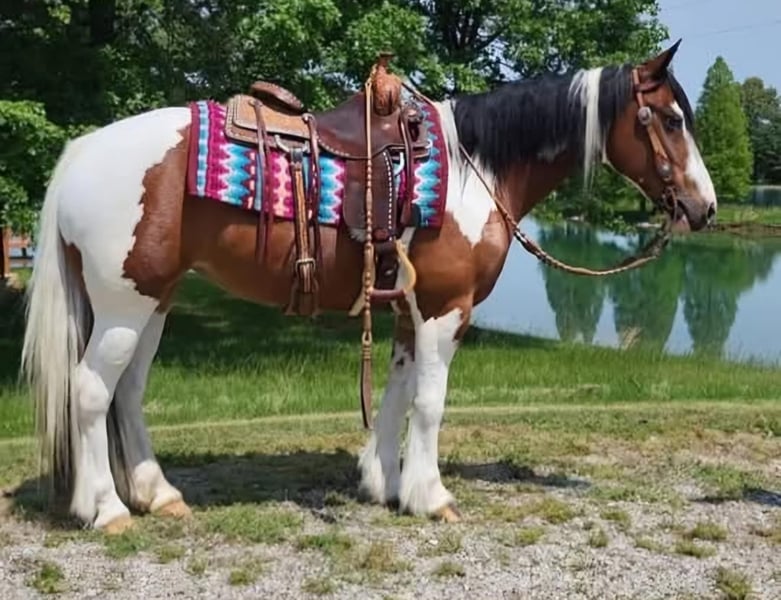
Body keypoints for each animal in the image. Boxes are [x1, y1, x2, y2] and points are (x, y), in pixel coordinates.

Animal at [20, 41, 716, 533]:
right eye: (670, 119)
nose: (704, 208)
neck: (475, 168)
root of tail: (81, 151)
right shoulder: (444, 310)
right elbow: (430, 403)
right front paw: (431, 497)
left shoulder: (410, 309)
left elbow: (396, 393)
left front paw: (384, 484)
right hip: (124, 304)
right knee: (90, 392)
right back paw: (106, 510)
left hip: (152, 302)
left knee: (128, 393)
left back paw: (156, 495)